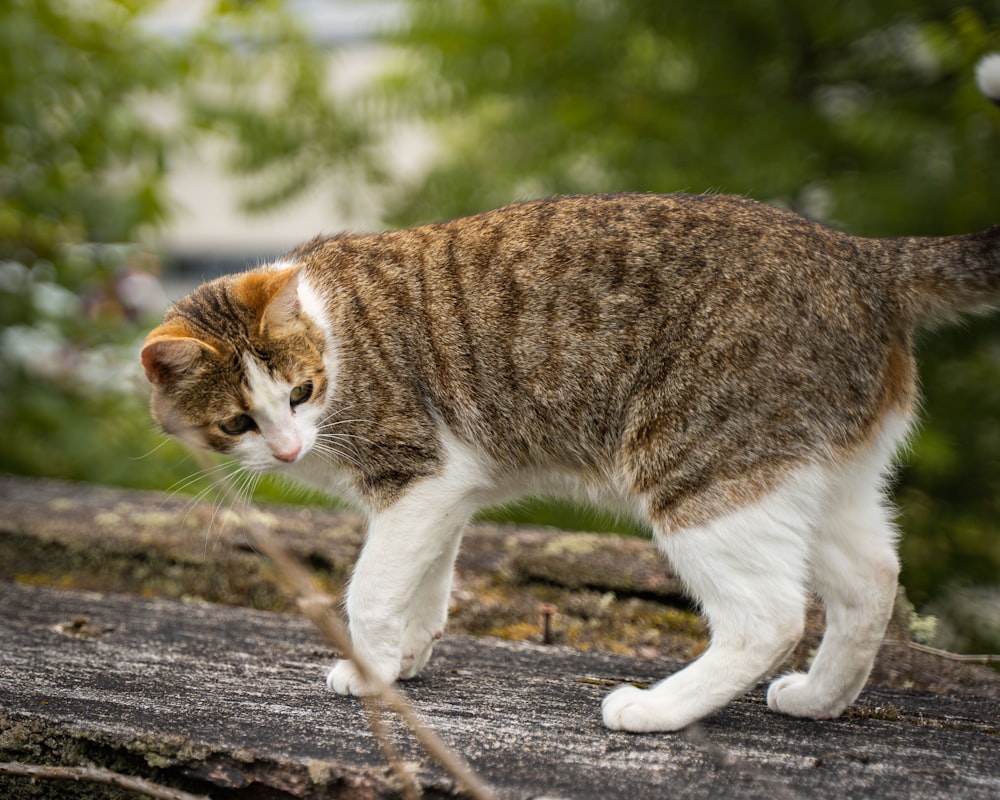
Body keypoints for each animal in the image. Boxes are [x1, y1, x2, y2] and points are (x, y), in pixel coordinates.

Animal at [141, 59, 1000, 736]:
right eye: (238, 421)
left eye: (302, 391)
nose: (288, 449)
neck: (333, 331)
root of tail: (863, 257)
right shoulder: (442, 495)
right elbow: (426, 588)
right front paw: (402, 661)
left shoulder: (416, 476)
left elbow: (374, 593)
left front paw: (372, 669)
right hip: (815, 478)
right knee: (873, 580)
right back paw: (821, 698)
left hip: (704, 470)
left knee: (771, 616)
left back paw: (656, 710)